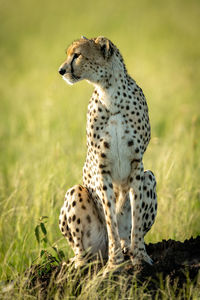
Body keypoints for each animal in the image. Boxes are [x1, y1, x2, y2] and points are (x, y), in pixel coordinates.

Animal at [58, 36, 157, 270]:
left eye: (77, 55)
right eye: (69, 54)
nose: (61, 70)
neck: (110, 92)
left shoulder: (137, 164)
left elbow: (137, 214)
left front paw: (140, 257)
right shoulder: (101, 168)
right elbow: (110, 217)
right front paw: (114, 264)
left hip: (149, 176)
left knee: (128, 233)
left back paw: (128, 248)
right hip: (76, 194)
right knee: (81, 250)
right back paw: (81, 264)